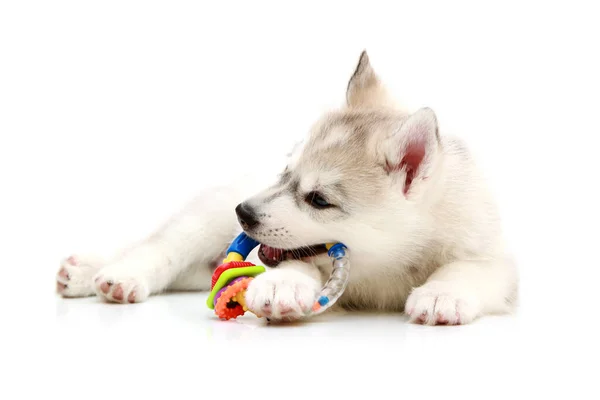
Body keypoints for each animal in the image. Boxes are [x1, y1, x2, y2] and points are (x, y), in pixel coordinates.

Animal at [55, 50, 516, 324]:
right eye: (285, 172)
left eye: (319, 199)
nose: (243, 213)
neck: (387, 265)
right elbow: (295, 263)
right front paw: (283, 285)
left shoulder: (494, 260)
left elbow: (466, 270)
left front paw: (441, 295)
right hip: (203, 220)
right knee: (158, 247)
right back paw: (111, 274)